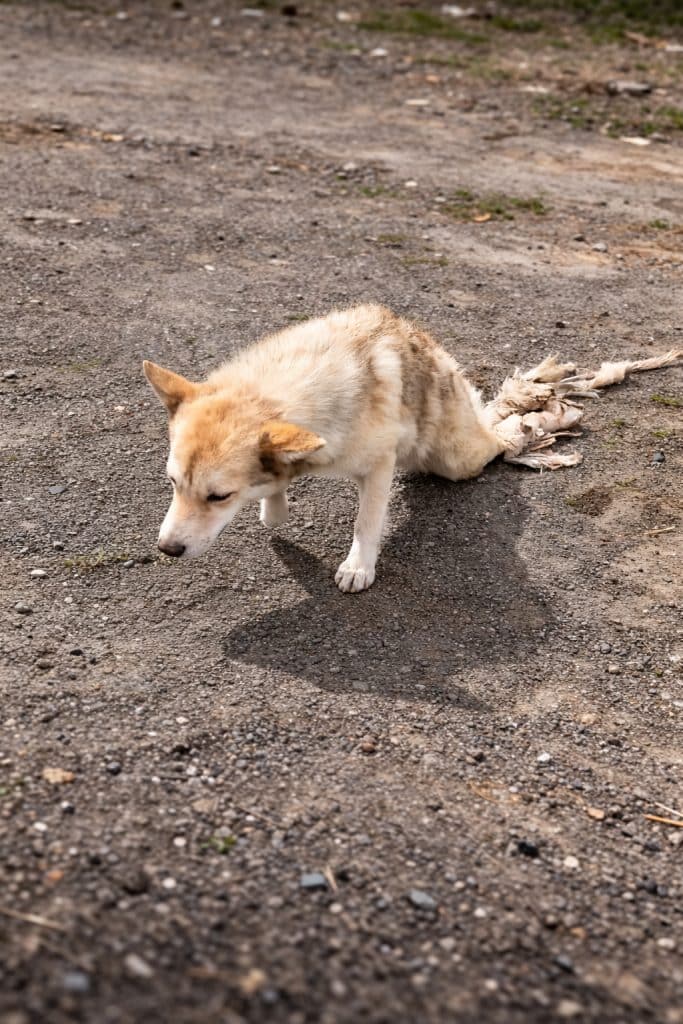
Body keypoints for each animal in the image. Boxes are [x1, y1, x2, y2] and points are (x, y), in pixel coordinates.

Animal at [143, 304, 681, 592]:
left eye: (218, 497)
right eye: (172, 483)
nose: (167, 550)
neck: (280, 392)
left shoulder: (378, 467)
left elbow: (366, 524)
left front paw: (358, 568)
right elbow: (276, 485)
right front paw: (274, 509)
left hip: (458, 457)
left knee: (499, 436)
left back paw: (537, 420)